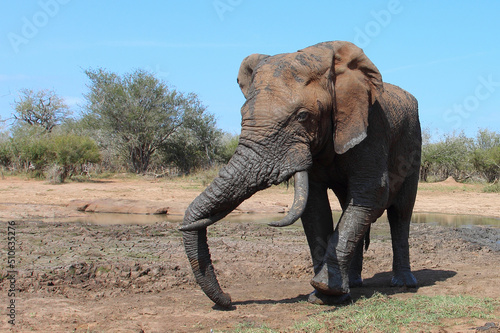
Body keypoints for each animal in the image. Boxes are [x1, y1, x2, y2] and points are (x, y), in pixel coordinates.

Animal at [180, 40, 422, 308]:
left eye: (303, 116)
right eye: (243, 115)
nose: (228, 299)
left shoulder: (373, 124)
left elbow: (372, 193)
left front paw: (325, 291)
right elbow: (315, 206)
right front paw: (323, 296)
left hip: (413, 143)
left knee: (400, 213)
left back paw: (403, 284)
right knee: (351, 205)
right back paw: (355, 283)